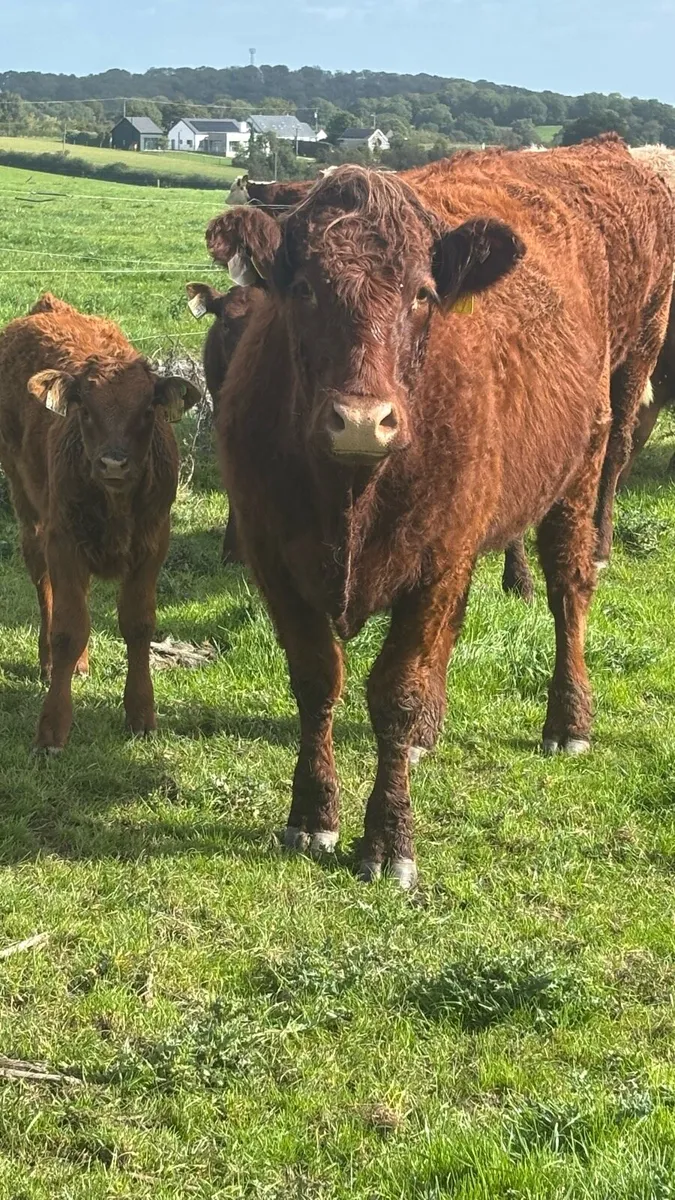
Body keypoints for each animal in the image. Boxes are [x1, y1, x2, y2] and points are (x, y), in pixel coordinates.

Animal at [0, 294, 201, 752]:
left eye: (147, 409)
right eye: (85, 409)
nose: (113, 461)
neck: (116, 506)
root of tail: (49, 306)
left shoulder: (153, 544)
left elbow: (138, 625)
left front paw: (141, 714)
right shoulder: (63, 541)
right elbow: (68, 627)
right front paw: (52, 729)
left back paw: (80, 664)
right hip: (27, 506)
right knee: (44, 583)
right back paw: (51, 662)